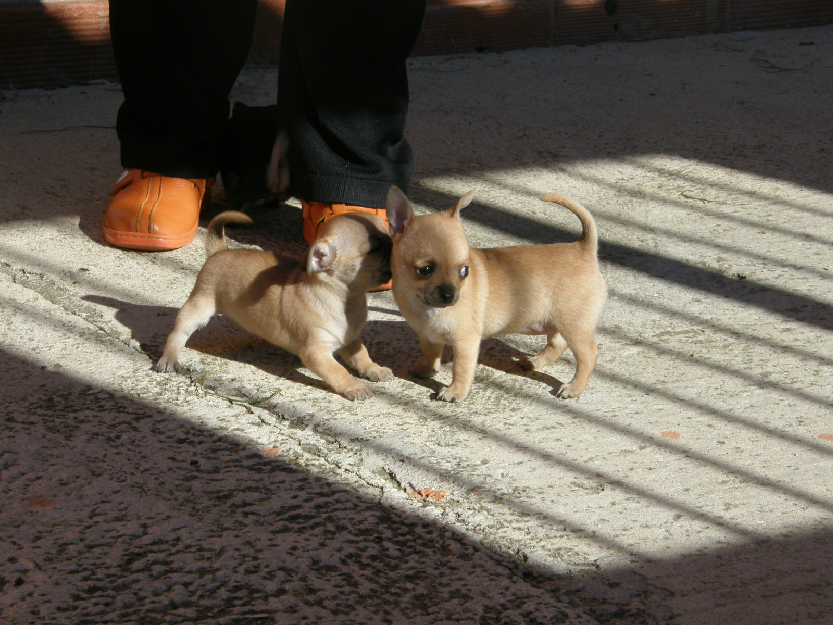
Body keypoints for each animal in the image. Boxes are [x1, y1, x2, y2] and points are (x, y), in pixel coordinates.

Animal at [156, 210, 394, 400]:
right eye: (374, 249)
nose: (394, 241)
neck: (347, 298)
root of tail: (220, 251)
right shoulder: (316, 352)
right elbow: (337, 371)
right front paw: (353, 386)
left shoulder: (351, 340)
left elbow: (362, 356)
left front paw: (375, 369)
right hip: (199, 308)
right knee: (178, 332)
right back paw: (169, 358)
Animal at [386, 185, 608, 402]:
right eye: (425, 270)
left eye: (464, 271)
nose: (450, 296)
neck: (424, 307)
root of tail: (583, 248)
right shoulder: (427, 336)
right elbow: (430, 353)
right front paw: (427, 369)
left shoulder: (465, 342)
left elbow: (461, 369)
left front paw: (455, 392)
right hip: (554, 322)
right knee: (557, 344)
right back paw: (534, 362)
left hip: (574, 326)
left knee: (588, 355)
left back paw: (574, 388)